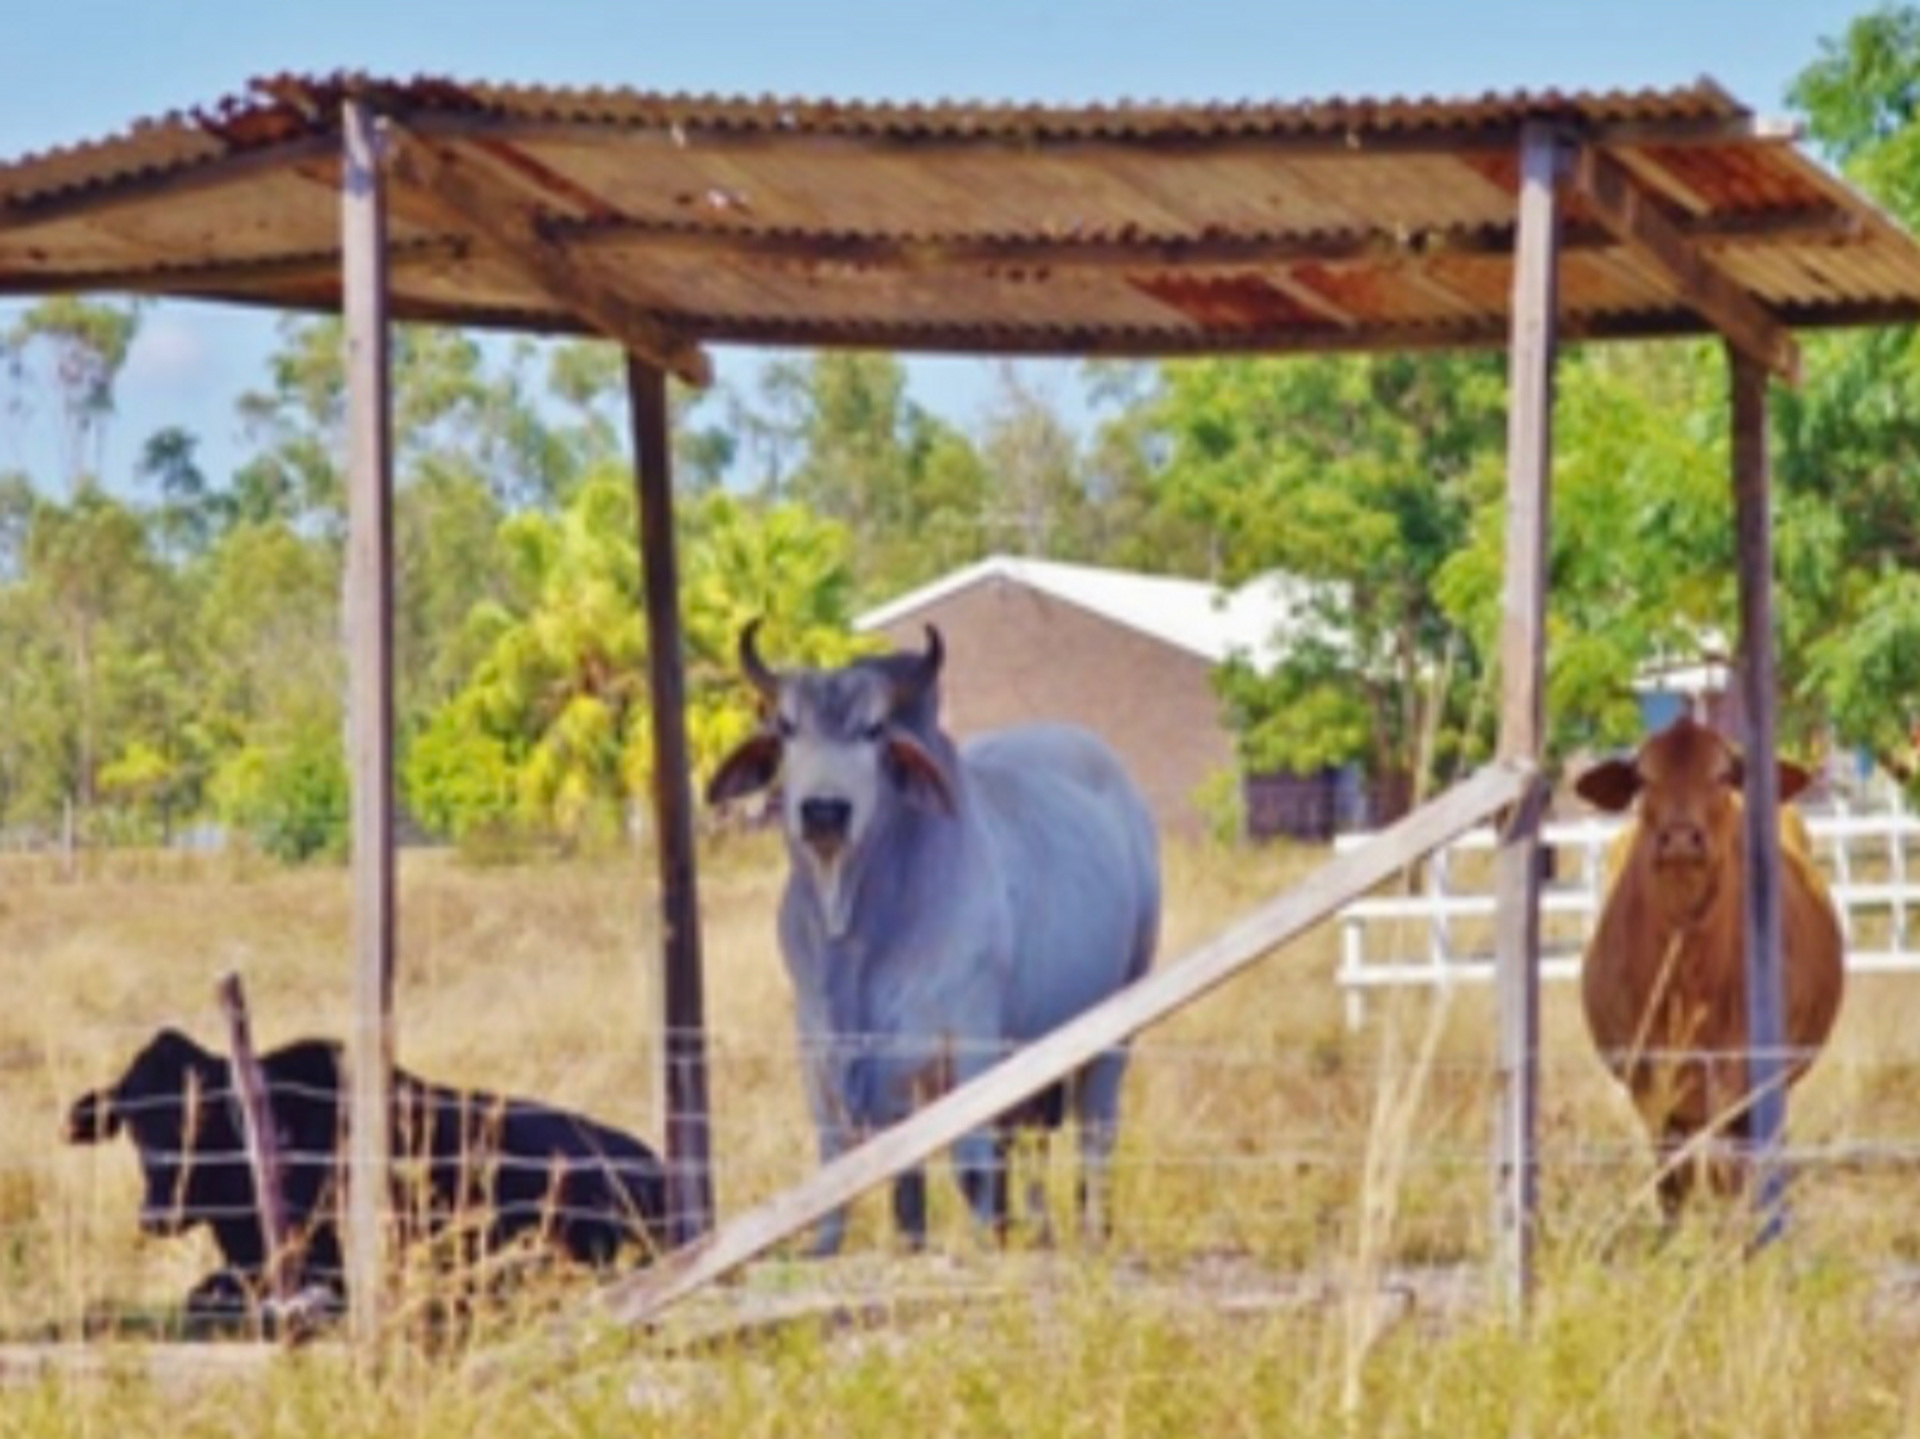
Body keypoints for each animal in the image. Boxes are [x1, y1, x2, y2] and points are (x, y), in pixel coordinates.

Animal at [706, 622, 1152, 1252]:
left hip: (1118, 1026)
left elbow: (971, 1169)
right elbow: (856, 1178)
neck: (856, 935)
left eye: (874, 730)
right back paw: (1039, 1233)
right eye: (787, 727)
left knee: (1095, 1134)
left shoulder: (969, 1044)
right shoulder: (822, 1055)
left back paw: (1094, 1234)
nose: (823, 811)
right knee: (1030, 1145)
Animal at [1574, 718, 1843, 1214]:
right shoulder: (1652, 1090)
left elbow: (1730, 1177)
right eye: (1644, 778)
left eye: (1722, 775)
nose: (1681, 837)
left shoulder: (1744, 1087)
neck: (1688, 979)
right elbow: (1672, 1185)